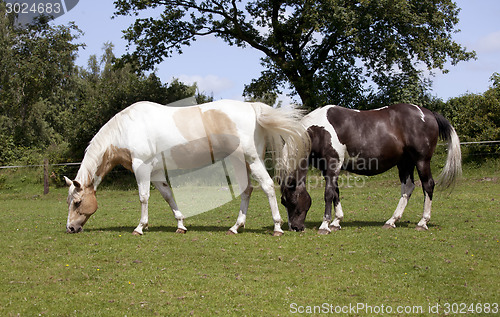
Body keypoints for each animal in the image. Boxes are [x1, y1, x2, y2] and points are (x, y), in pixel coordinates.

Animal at [64, 99, 306, 235]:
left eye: (77, 202)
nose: (70, 228)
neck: (126, 127)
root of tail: (253, 108)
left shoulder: (142, 167)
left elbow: (143, 197)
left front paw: (140, 227)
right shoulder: (156, 172)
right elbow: (168, 196)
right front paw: (180, 225)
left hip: (252, 160)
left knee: (267, 187)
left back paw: (277, 228)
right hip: (241, 162)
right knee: (247, 190)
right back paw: (235, 227)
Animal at [282, 103, 460, 232]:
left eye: (291, 200)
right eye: (284, 202)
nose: (295, 228)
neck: (318, 130)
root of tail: (428, 113)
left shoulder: (332, 165)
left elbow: (328, 194)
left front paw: (325, 225)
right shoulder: (328, 169)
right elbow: (335, 193)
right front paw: (336, 222)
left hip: (422, 161)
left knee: (428, 185)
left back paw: (422, 222)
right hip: (405, 163)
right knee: (408, 188)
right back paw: (391, 221)